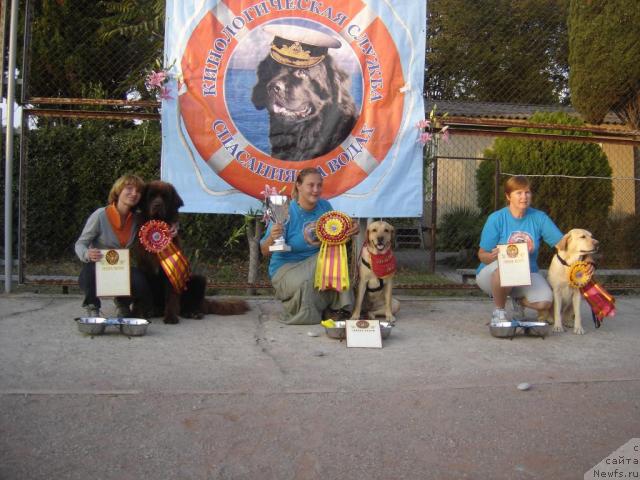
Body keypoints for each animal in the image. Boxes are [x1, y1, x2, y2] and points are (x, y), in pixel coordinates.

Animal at [138, 182, 250, 324]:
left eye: (164, 197)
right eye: (151, 196)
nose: (157, 204)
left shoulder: (172, 272)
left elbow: (171, 296)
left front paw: (170, 317)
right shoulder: (145, 269)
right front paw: (146, 312)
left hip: (198, 280)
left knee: (192, 303)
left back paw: (192, 312)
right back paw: (157, 310)